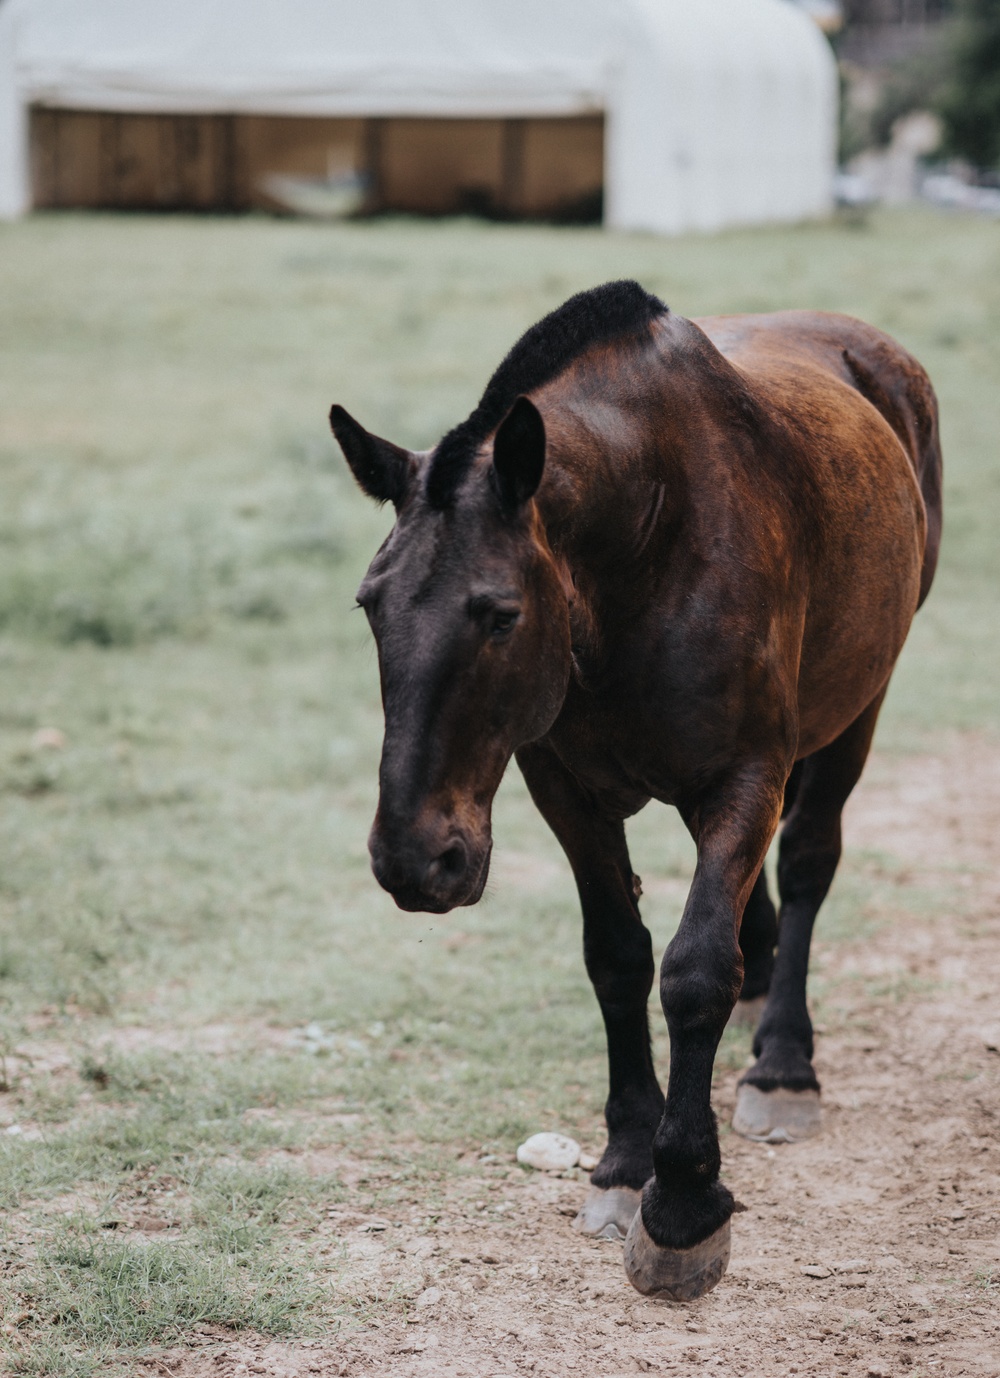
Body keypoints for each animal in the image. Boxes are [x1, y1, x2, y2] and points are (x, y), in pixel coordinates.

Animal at [329, 282, 942, 1300]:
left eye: (500, 614)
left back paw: (782, 1063)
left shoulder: (744, 775)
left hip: (864, 700)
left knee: (809, 860)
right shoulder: (562, 787)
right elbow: (617, 956)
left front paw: (684, 1202)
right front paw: (623, 1162)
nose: (416, 861)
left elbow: (692, 970)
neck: (648, 547)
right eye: (371, 606)